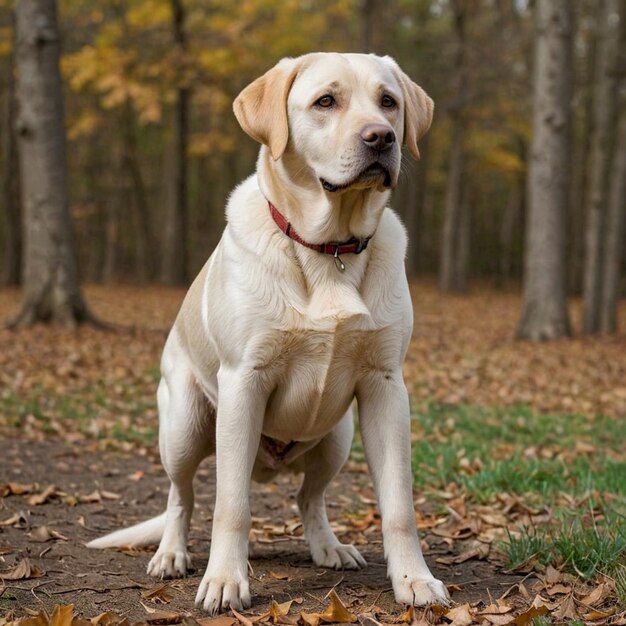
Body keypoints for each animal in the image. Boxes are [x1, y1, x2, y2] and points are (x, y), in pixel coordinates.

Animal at [88, 51, 448, 612]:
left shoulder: (386, 387)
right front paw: (224, 581)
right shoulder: (244, 381)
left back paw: (329, 547)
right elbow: (230, 505)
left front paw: (413, 579)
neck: (330, 248)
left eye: (388, 101)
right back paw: (171, 555)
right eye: (326, 101)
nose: (382, 137)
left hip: (338, 436)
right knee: (182, 496)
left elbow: (398, 506)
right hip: (185, 427)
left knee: (308, 497)